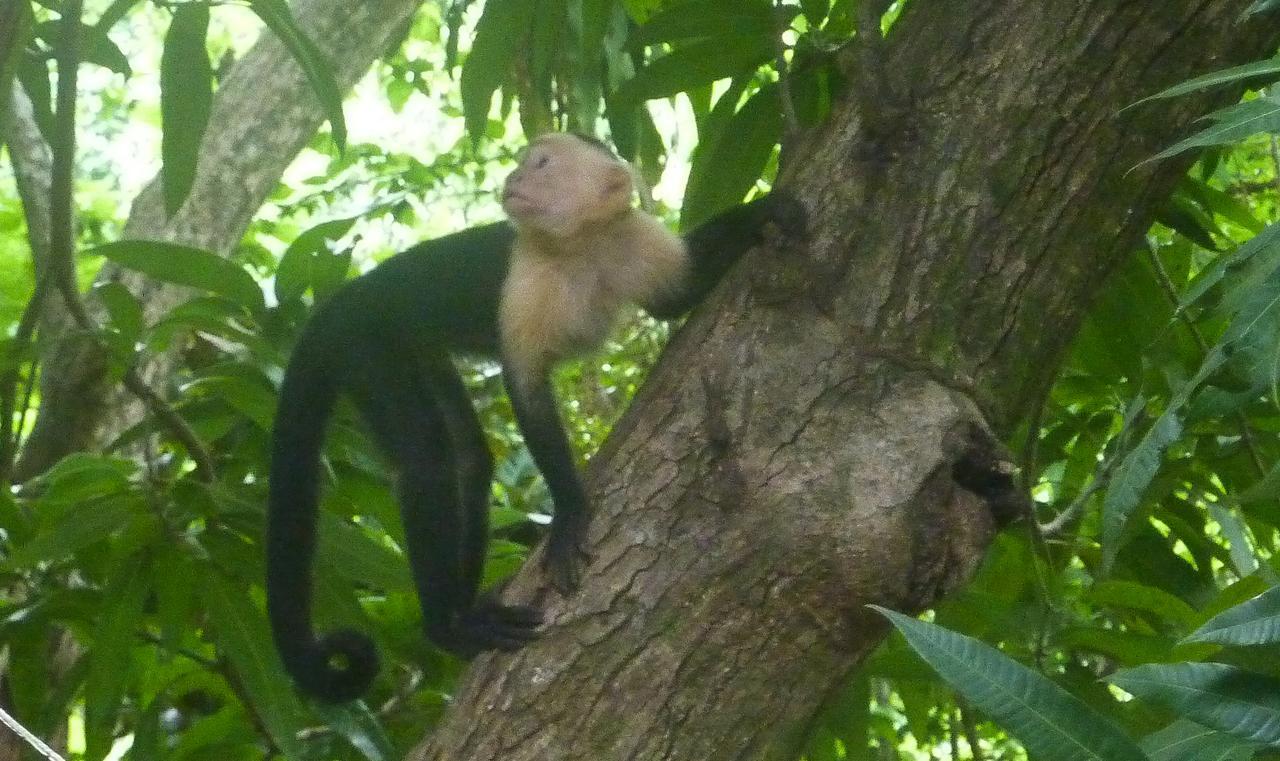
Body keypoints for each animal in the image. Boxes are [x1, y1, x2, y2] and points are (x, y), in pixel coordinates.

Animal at [266, 132, 803, 700]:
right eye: (525, 162)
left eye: (541, 164)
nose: (513, 179)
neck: (578, 246)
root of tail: (339, 302)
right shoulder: (528, 278)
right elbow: (524, 385)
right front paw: (569, 512)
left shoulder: (632, 239)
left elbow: (675, 300)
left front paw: (764, 213)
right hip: (366, 346)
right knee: (428, 460)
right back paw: (446, 628)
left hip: (414, 349)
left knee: (468, 461)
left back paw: (463, 608)